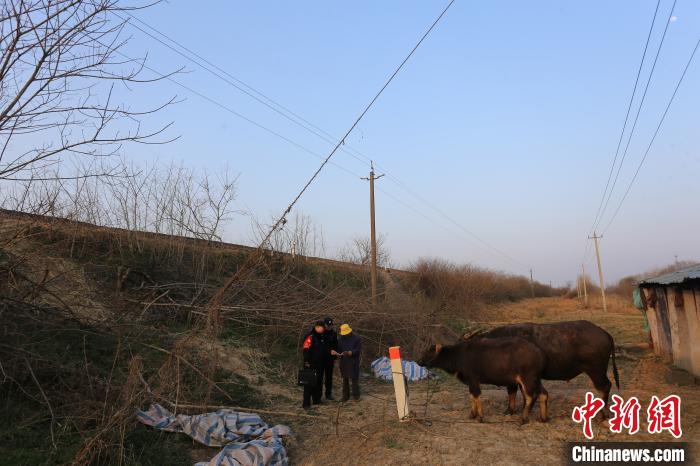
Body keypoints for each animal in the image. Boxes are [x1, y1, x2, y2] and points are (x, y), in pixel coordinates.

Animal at [418, 336, 548, 424]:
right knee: (543, 394)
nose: (419, 361)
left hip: (527, 379)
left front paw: (480, 417)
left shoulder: (473, 379)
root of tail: (538, 352)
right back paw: (543, 418)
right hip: (536, 379)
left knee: (531, 396)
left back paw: (523, 418)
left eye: (429, 353)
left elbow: (476, 396)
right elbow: (471, 396)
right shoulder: (471, 382)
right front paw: (472, 414)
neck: (459, 356)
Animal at [464, 320, 616, 416]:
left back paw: (603, 413)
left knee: (605, 386)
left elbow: (513, 392)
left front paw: (510, 411)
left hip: (596, 370)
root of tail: (604, 333)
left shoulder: (514, 378)